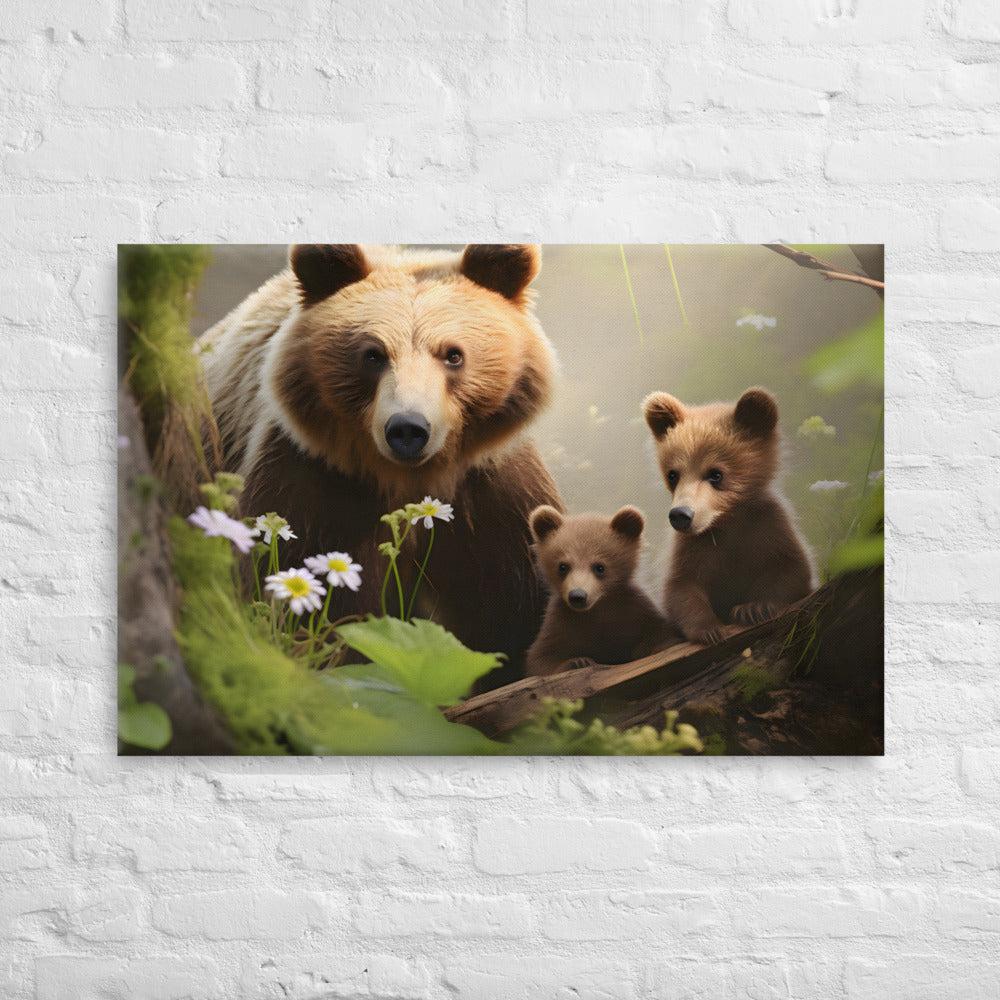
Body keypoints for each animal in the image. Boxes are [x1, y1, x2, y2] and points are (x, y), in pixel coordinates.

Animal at [197, 244, 563, 685]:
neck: (409, 481)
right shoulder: (313, 483)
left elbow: (511, 607)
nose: (408, 428)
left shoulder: (491, 496)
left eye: (453, 354)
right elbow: (294, 590)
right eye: (373, 354)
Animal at [525, 505, 678, 676]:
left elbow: (663, 633)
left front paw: (643, 649)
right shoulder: (561, 622)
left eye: (599, 567)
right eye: (563, 566)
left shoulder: (636, 610)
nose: (577, 596)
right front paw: (578, 661)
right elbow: (540, 658)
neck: (599, 608)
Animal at [642, 386, 815, 646]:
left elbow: (791, 569)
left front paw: (753, 608)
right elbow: (680, 587)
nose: (681, 515)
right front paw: (709, 629)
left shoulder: (769, 527)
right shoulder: (693, 548)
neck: (727, 521)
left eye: (716, 474)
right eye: (673, 474)